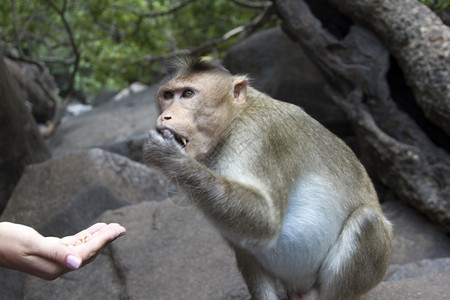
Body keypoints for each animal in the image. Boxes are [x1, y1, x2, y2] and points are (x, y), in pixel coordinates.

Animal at [142, 56, 392, 300]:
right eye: (167, 96)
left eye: (188, 94)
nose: (165, 115)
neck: (234, 119)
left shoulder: (260, 134)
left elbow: (266, 221)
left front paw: (169, 156)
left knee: (367, 221)